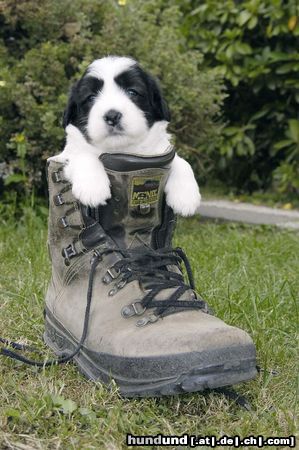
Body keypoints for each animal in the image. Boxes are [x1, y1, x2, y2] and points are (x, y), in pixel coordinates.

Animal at [49, 56, 202, 216]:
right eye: (90, 97)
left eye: (132, 92)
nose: (112, 116)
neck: (122, 150)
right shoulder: (66, 154)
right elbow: (83, 154)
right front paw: (92, 188)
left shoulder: (159, 151)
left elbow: (181, 161)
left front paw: (186, 197)